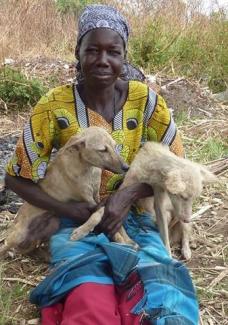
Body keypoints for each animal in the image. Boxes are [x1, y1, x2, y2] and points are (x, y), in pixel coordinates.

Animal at [0, 126, 128, 256]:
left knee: (36, 245)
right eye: (103, 150)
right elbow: (98, 213)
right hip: (18, 235)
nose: (126, 167)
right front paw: (81, 231)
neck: (88, 168)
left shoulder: (96, 196)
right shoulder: (88, 199)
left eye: (115, 146)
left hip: (53, 223)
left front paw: (122, 239)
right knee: (5, 246)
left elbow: (106, 214)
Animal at [71, 142, 216, 258]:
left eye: (193, 199)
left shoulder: (159, 200)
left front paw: (168, 256)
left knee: (185, 234)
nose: (187, 219)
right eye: (183, 197)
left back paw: (186, 251)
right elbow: (101, 212)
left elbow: (164, 236)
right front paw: (81, 231)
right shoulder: (123, 192)